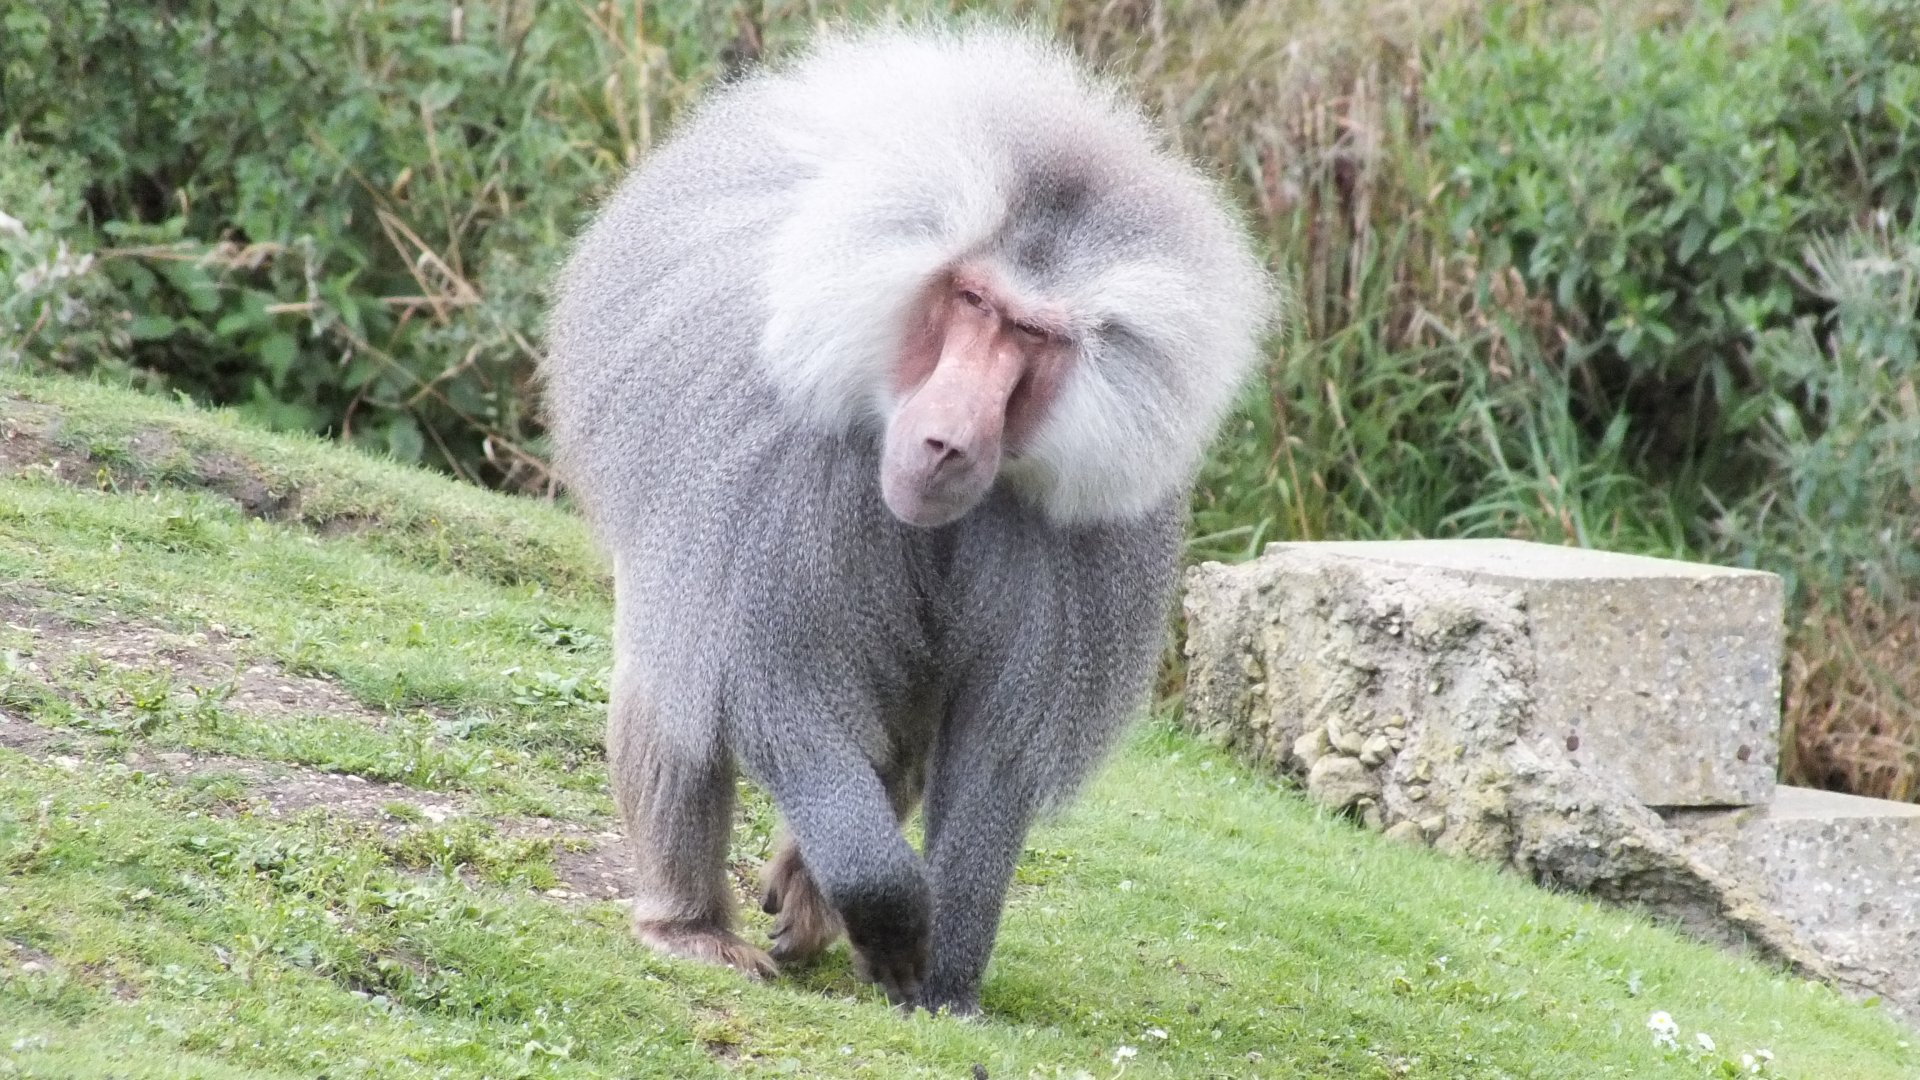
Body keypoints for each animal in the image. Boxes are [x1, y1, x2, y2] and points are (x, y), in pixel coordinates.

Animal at [540, 24, 1270, 1015]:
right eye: (972, 302)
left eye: (1033, 337)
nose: (949, 443)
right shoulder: (775, 462)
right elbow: (772, 684)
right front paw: (884, 907)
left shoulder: (1079, 538)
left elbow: (995, 746)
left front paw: (945, 972)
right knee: (681, 674)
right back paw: (689, 926)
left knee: (905, 732)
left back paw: (808, 895)